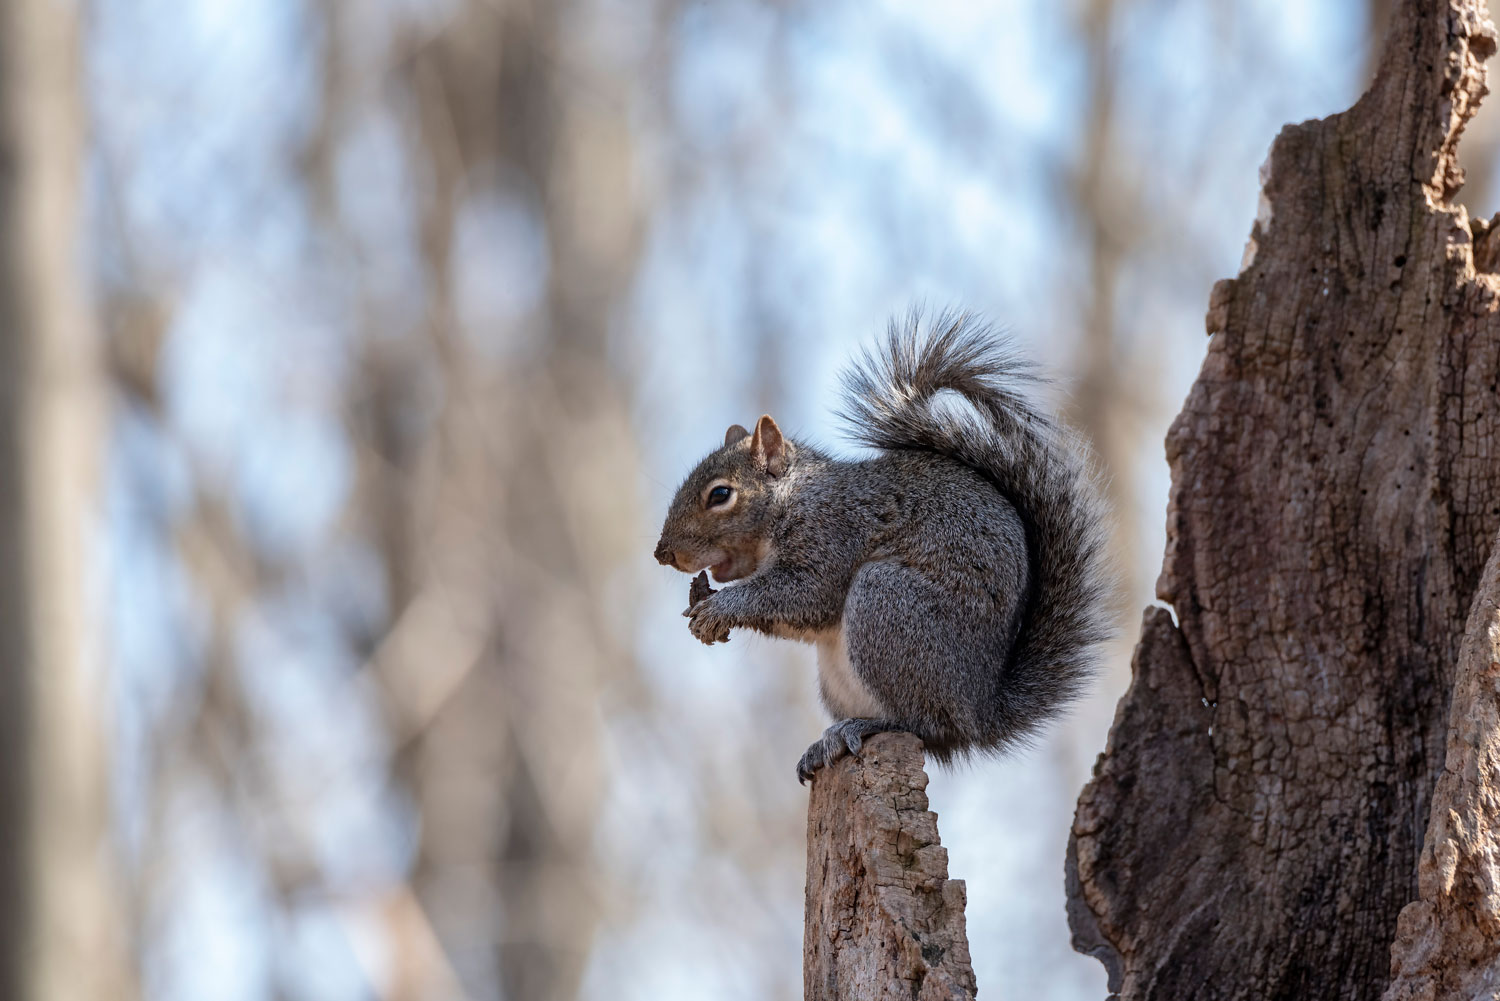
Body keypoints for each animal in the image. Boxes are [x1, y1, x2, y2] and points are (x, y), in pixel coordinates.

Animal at [657, 313, 1116, 780]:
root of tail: (979, 713)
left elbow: (806, 595)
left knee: (924, 724)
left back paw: (867, 726)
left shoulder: (833, 535)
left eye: (720, 495)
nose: (663, 553)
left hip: (890, 606)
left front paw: (719, 608)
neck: (796, 498)